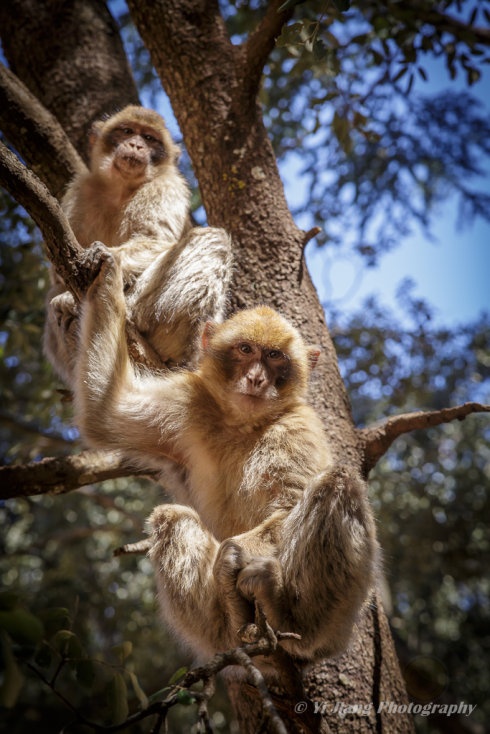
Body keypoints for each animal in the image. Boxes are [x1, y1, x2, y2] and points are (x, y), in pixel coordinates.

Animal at [43, 107, 232, 392]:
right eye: (127, 131)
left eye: (150, 138)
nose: (136, 145)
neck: (121, 189)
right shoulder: (81, 190)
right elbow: (57, 270)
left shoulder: (166, 187)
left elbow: (156, 240)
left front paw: (102, 256)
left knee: (213, 239)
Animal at [73, 244, 378, 668]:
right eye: (246, 350)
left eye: (275, 357)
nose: (257, 378)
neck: (241, 425)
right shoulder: (188, 403)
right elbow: (105, 411)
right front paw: (108, 275)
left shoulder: (298, 429)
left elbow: (288, 506)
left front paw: (235, 553)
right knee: (172, 518)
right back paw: (229, 628)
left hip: (339, 623)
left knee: (338, 484)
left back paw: (290, 618)